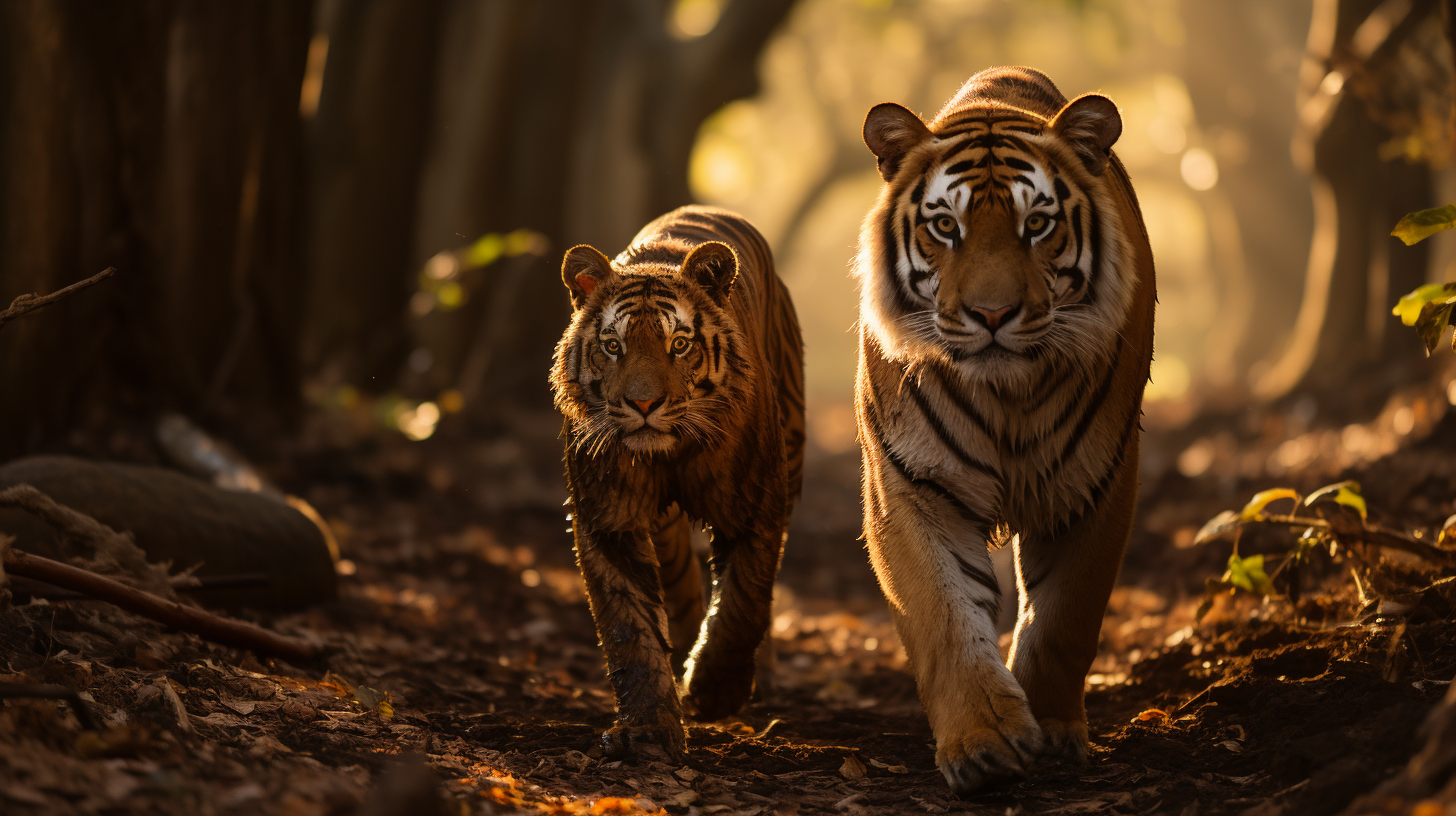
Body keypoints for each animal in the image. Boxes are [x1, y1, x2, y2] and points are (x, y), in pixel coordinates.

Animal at [547, 202, 809, 757]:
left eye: (680, 344)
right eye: (613, 346)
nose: (643, 404)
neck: (670, 456)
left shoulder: (755, 508)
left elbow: (743, 603)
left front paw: (716, 693)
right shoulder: (609, 518)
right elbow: (628, 626)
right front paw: (648, 727)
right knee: (682, 581)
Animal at [850, 67, 1147, 792]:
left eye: (1036, 224)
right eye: (945, 226)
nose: (991, 314)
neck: (1008, 394)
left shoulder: (1097, 482)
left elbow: (1065, 617)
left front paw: (1054, 729)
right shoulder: (910, 485)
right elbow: (944, 617)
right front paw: (984, 744)